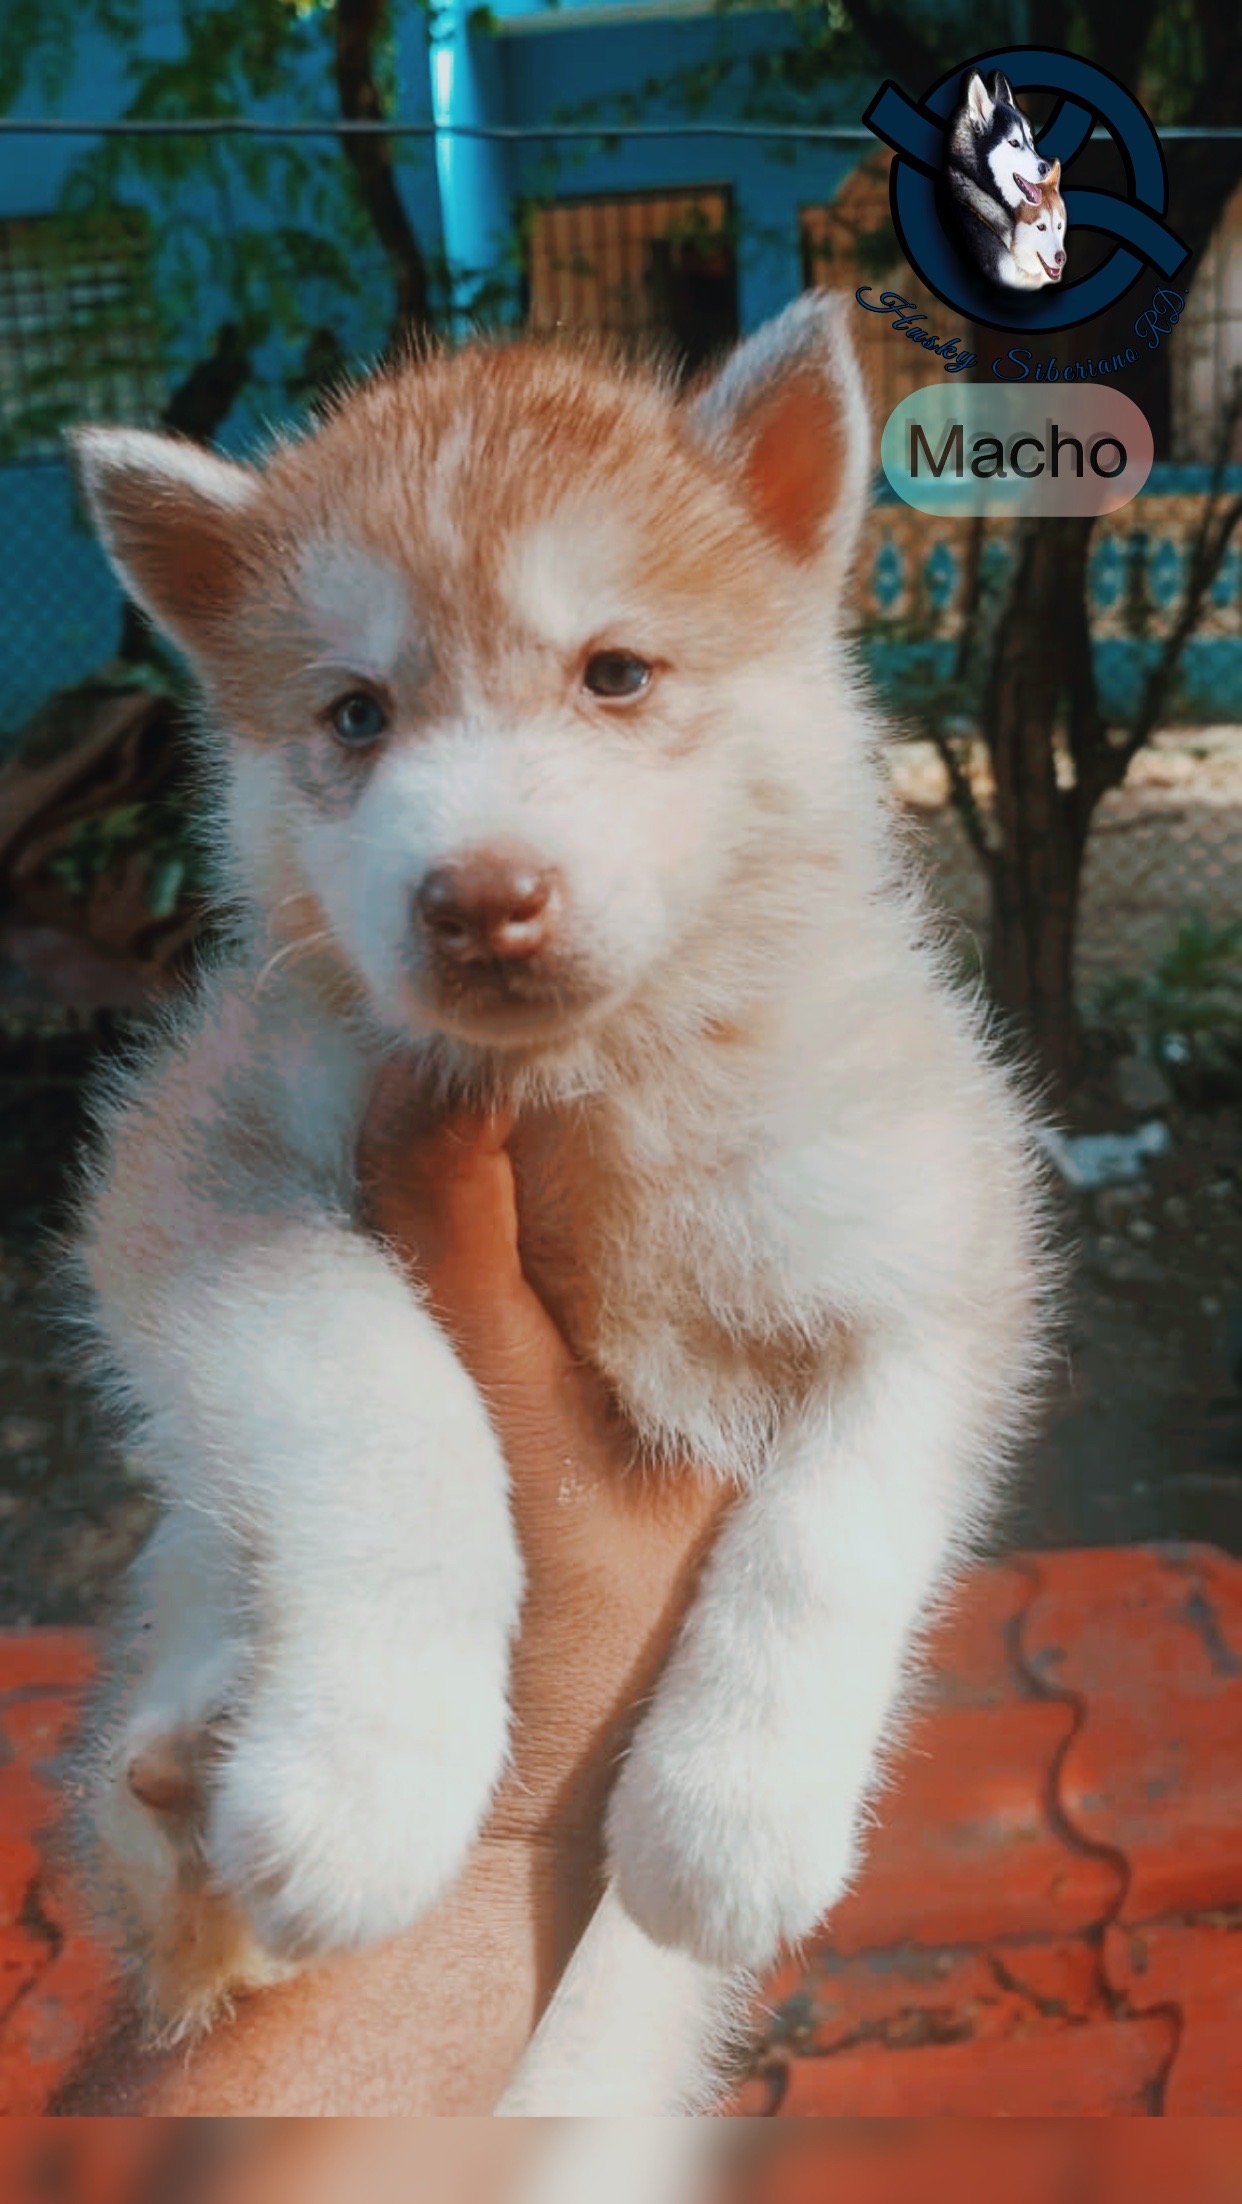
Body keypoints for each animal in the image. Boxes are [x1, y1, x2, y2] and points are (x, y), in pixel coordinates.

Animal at [70, 301, 1048, 2107]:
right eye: (355, 715)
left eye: (616, 673)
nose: (480, 898)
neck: (583, 1092)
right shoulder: (211, 1154)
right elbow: (383, 1401)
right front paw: (368, 1770)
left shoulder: (945, 1222)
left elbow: (834, 1521)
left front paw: (731, 1811)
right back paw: (192, 1785)